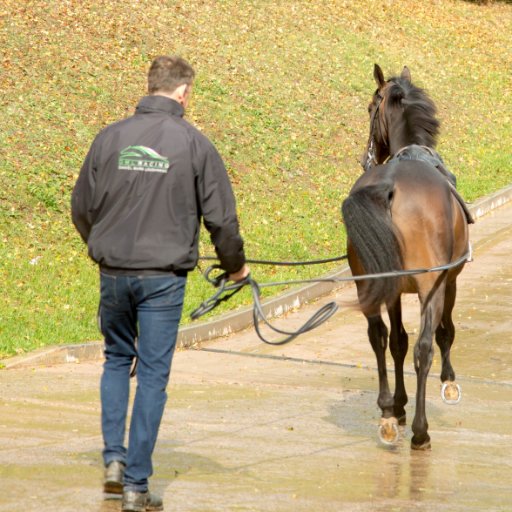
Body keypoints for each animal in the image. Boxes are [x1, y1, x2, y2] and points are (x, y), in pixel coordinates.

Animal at [342, 63, 470, 448]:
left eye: (371, 108)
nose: (366, 157)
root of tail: (389, 184)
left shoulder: (394, 290)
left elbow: (397, 341)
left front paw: (397, 406)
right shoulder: (449, 281)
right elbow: (444, 332)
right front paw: (448, 382)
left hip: (369, 283)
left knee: (379, 337)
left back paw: (386, 413)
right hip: (432, 286)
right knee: (424, 347)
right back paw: (420, 430)